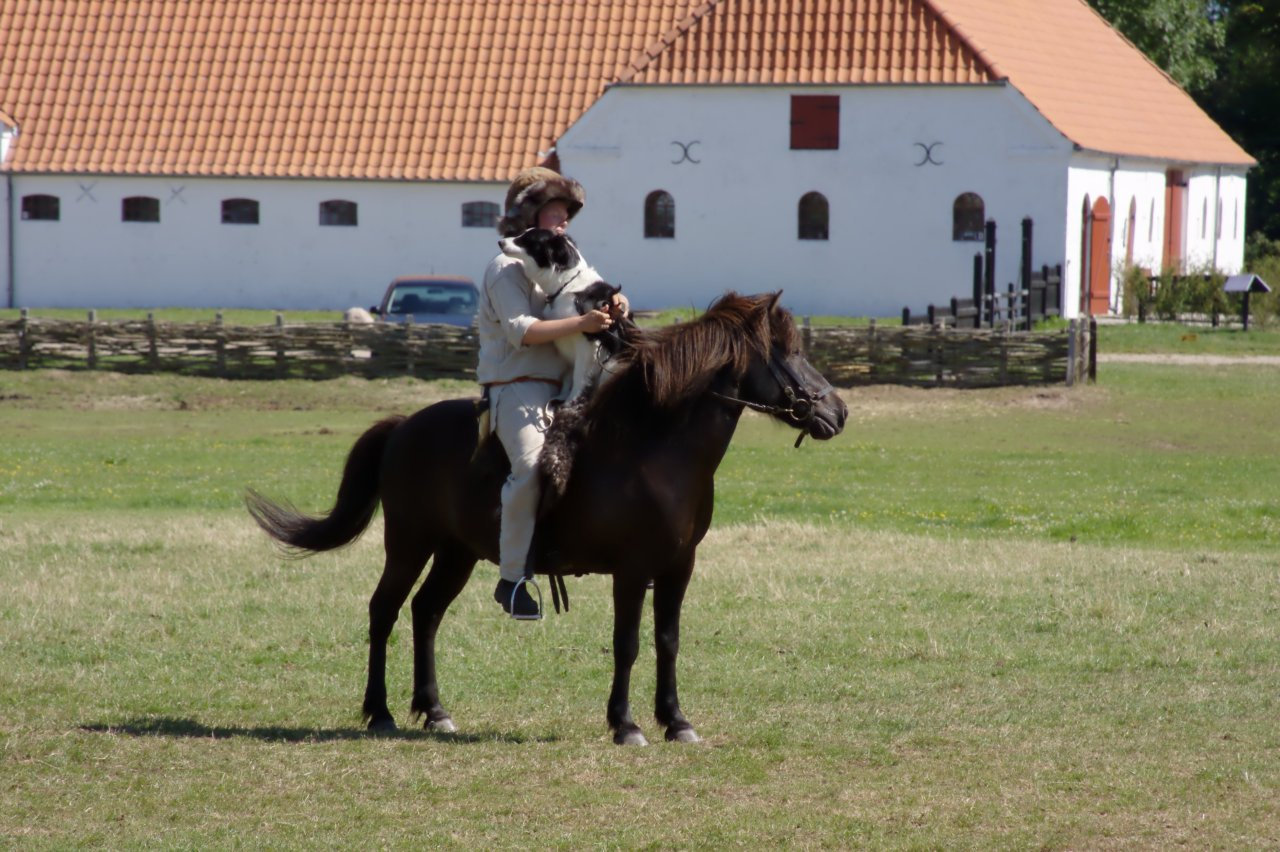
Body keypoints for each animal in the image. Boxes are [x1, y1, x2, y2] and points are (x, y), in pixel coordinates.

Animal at [247, 291, 849, 741]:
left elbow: (668, 641)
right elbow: (628, 643)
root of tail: (402, 427)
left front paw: (676, 721)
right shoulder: (632, 571)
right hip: (410, 543)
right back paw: (381, 713)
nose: (837, 411)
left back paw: (435, 711)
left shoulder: (679, 567)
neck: (652, 450)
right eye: (788, 352)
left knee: (426, 612)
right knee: (384, 611)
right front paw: (625, 725)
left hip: (457, 552)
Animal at [499, 225, 629, 399]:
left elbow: (579, 376)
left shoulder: (588, 343)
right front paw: (561, 397)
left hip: (614, 364)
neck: (566, 283)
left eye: (527, 239)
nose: (500, 242)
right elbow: (568, 377)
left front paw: (571, 401)